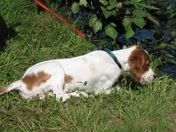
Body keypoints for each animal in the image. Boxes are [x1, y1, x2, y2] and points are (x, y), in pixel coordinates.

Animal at [0, 45, 155, 101]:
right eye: (147, 65)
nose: (155, 76)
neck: (116, 59)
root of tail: (23, 81)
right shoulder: (101, 90)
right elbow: (118, 89)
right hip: (56, 67)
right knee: (59, 97)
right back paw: (80, 94)